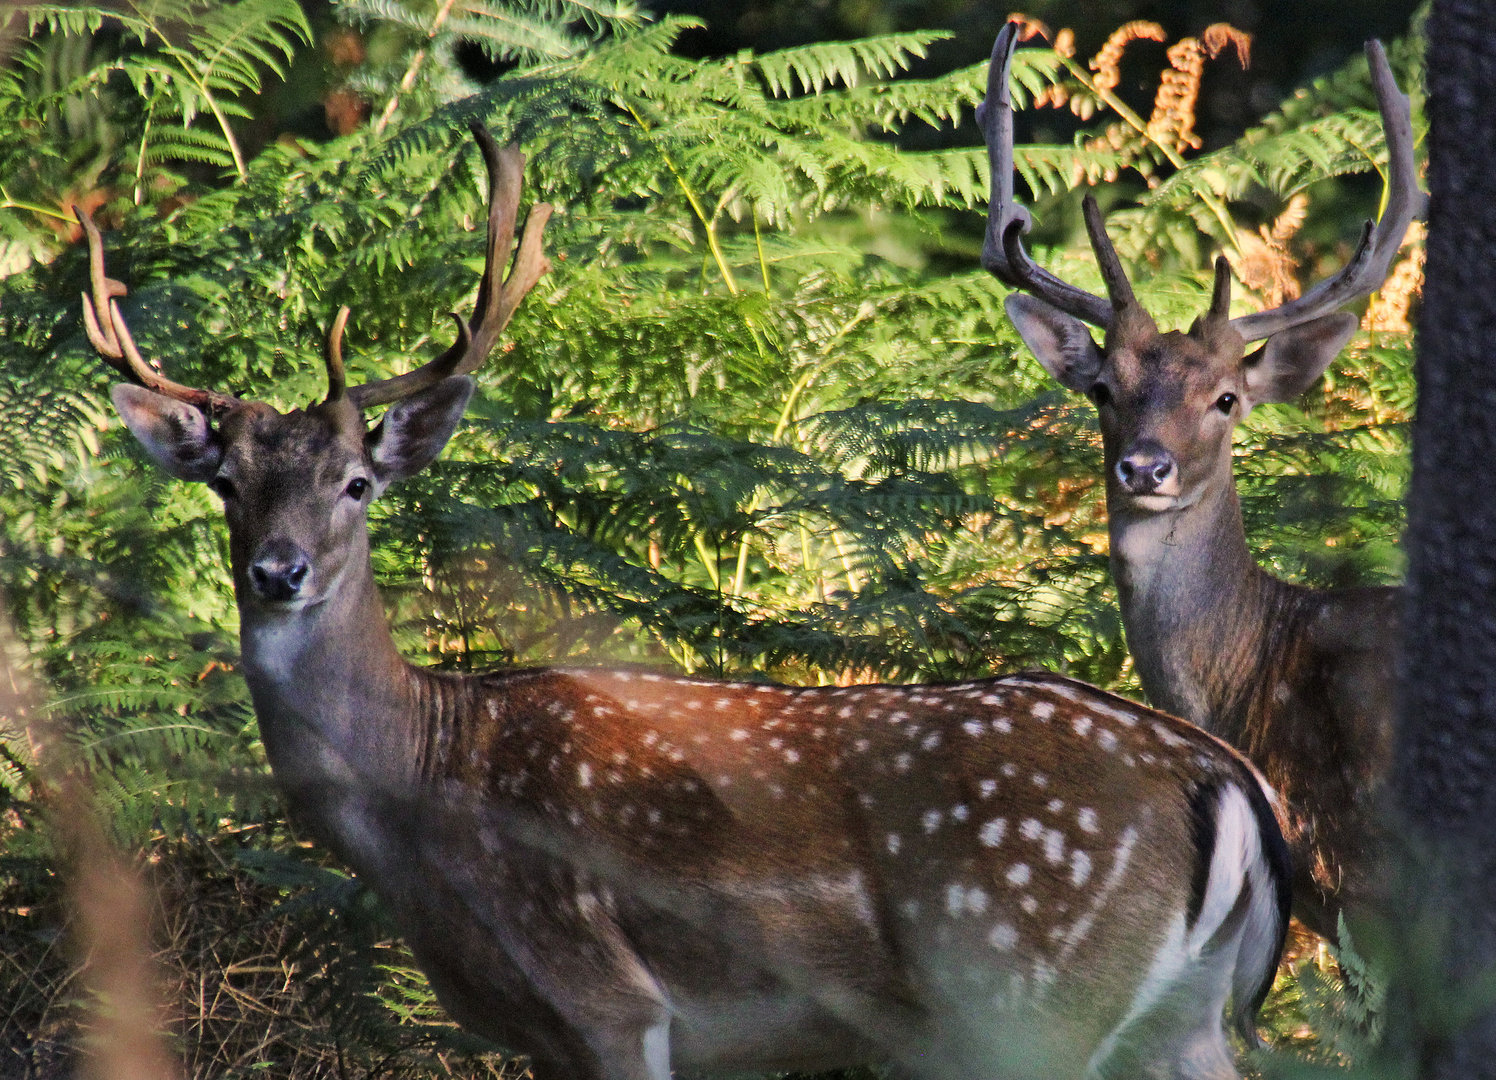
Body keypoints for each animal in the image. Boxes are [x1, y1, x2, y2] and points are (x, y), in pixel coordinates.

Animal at [87, 119, 1292, 1077]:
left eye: (355, 481)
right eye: (228, 482)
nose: (276, 571)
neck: (424, 787)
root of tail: (1223, 780)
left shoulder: (607, 997)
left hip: (1025, 987)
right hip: (1183, 1019)